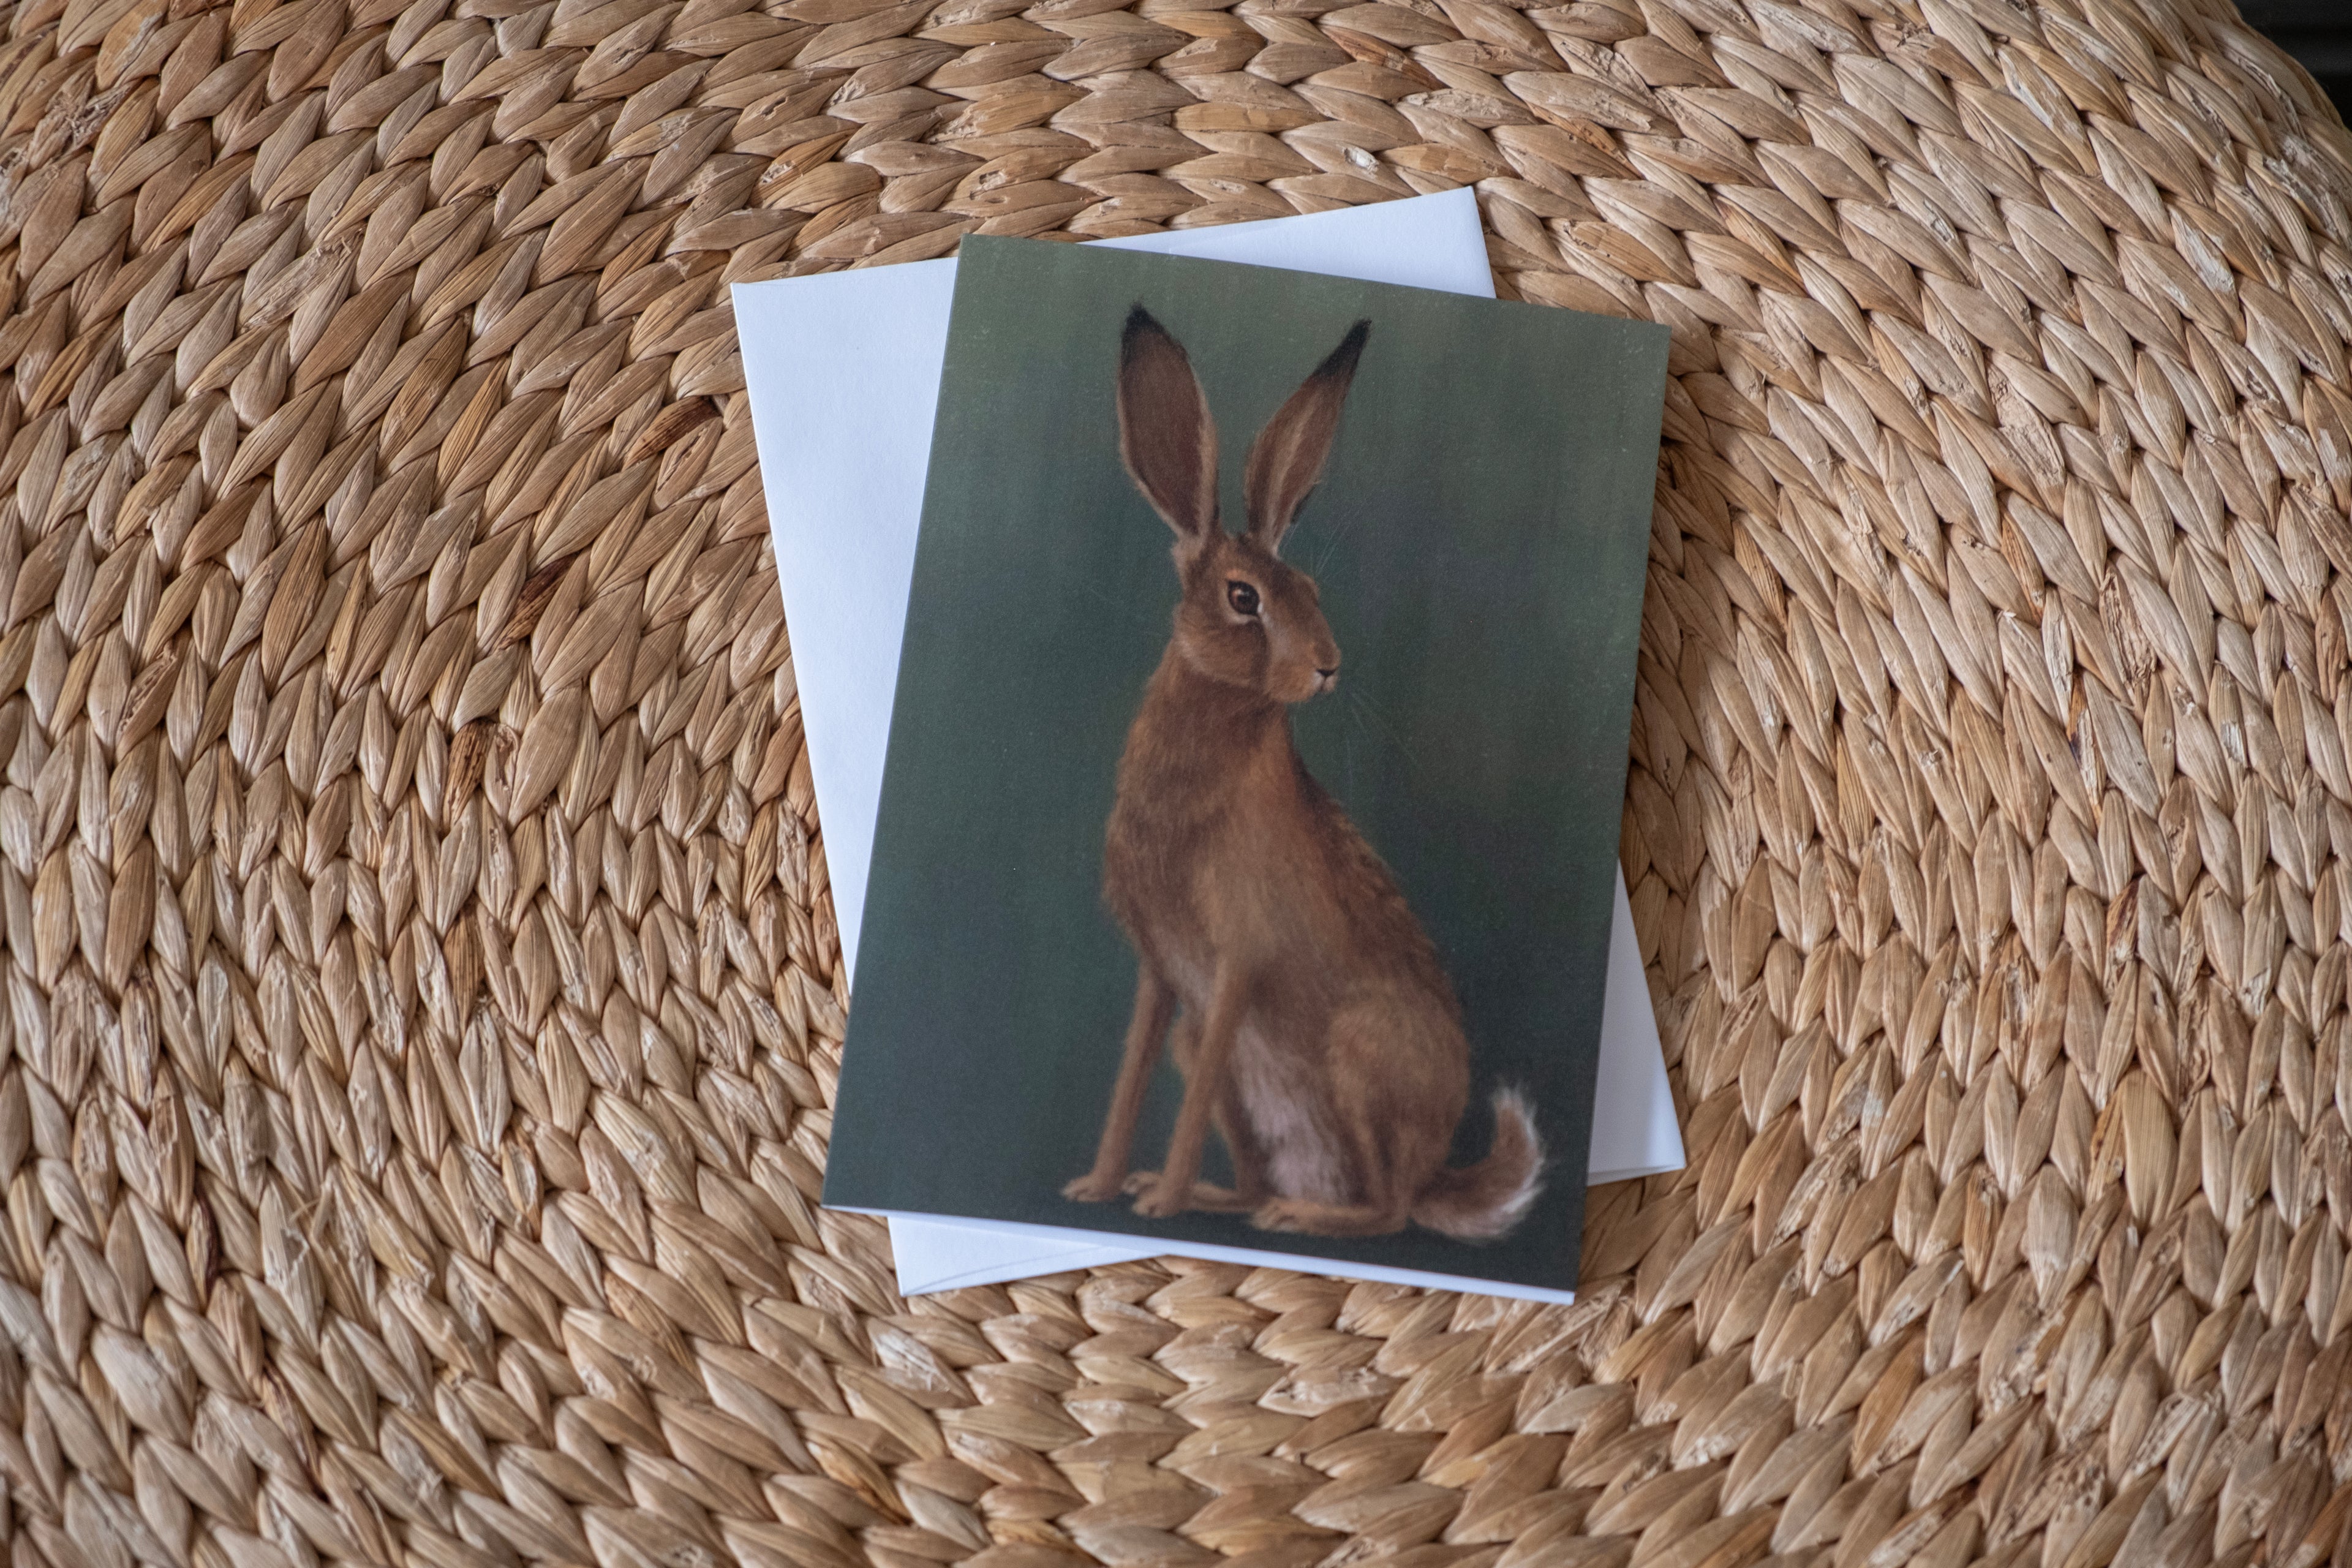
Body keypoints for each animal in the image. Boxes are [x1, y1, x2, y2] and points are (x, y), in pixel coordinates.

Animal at [1060, 304, 1545, 1242]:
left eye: (1313, 591)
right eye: (1244, 598)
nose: (1328, 666)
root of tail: (1436, 1170)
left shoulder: (1237, 959)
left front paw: (1157, 1203)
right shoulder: (1164, 974)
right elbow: (1133, 1076)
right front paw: (1099, 1187)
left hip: (1360, 1054)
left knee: (1390, 1214)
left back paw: (1300, 1216)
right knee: (1269, 1170)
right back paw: (1221, 1195)